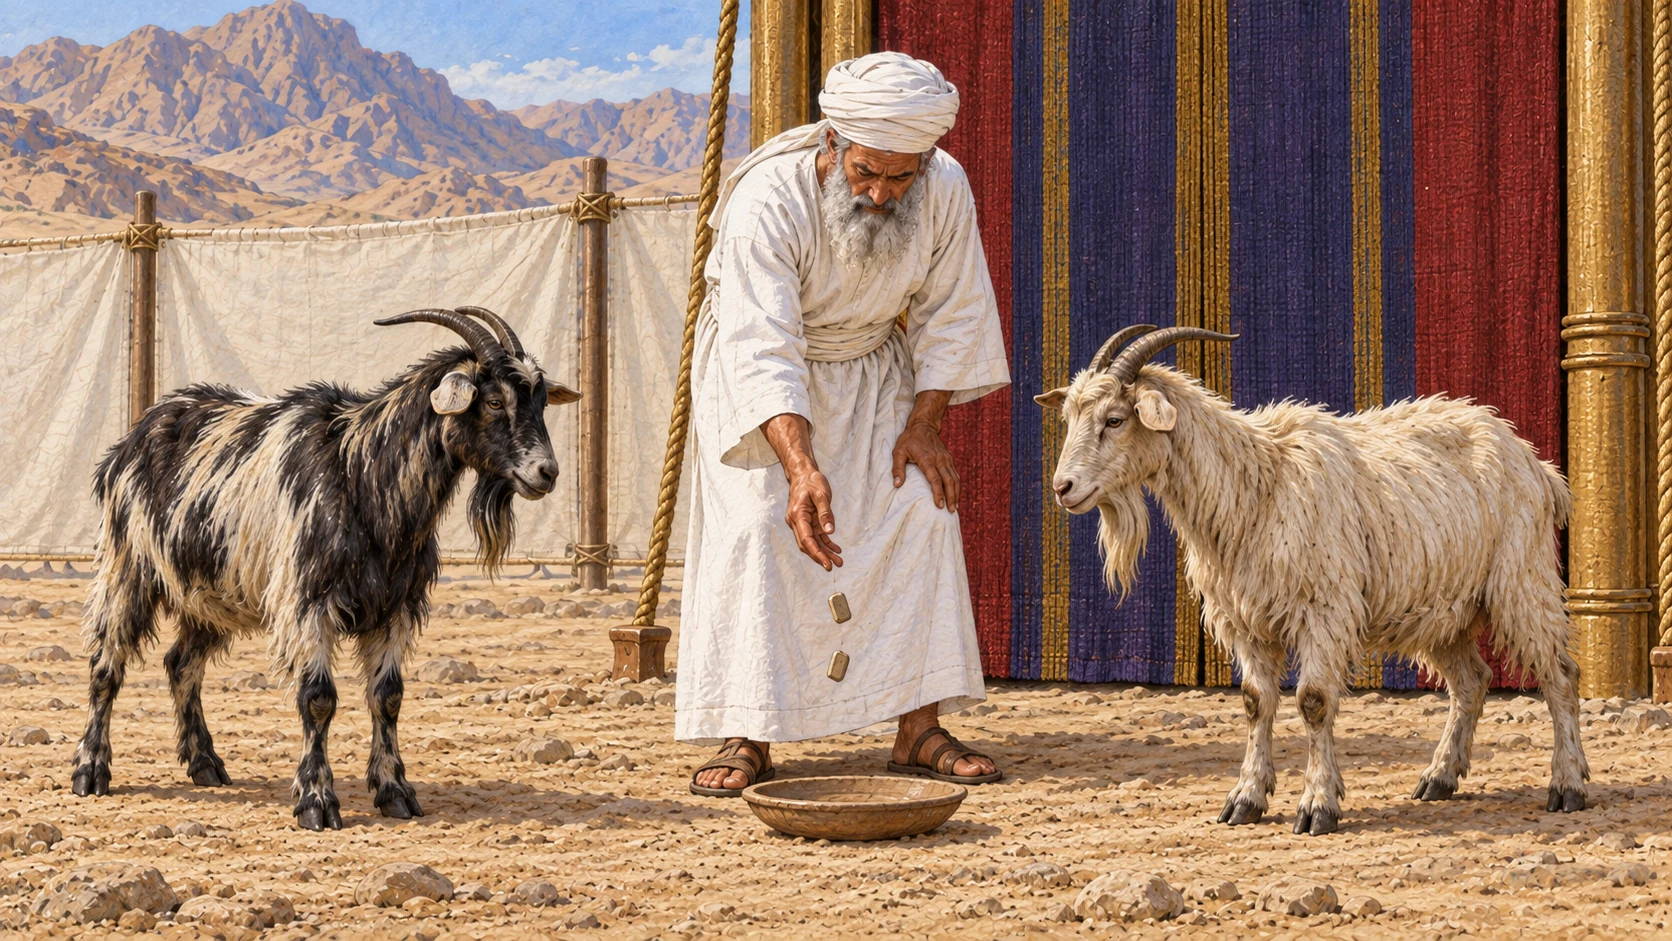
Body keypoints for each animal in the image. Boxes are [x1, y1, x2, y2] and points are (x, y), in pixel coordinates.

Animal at [71, 307, 580, 830]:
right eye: (495, 400)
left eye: (541, 402)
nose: (547, 473)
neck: (362, 474)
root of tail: (130, 441)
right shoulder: (308, 601)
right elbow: (318, 698)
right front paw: (316, 800)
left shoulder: (395, 607)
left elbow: (388, 696)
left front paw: (395, 791)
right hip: (125, 568)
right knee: (105, 665)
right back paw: (91, 771)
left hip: (208, 593)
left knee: (181, 664)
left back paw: (205, 764)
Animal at [1037, 325, 1587, 835]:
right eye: (1070, 419)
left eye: (1114, 419)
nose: (1063, 488)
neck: (1257, 485)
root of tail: (1539, 466)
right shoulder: (1245, 620)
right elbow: (1255, 702)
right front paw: (1246, 800)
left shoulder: (1323, 609)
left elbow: (1313, 702)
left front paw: (1318, 805)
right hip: (1444, 607)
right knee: (1472, 683)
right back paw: (1439, 778)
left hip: (1522, 580)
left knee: (1560, 675)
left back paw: (1568, 786)